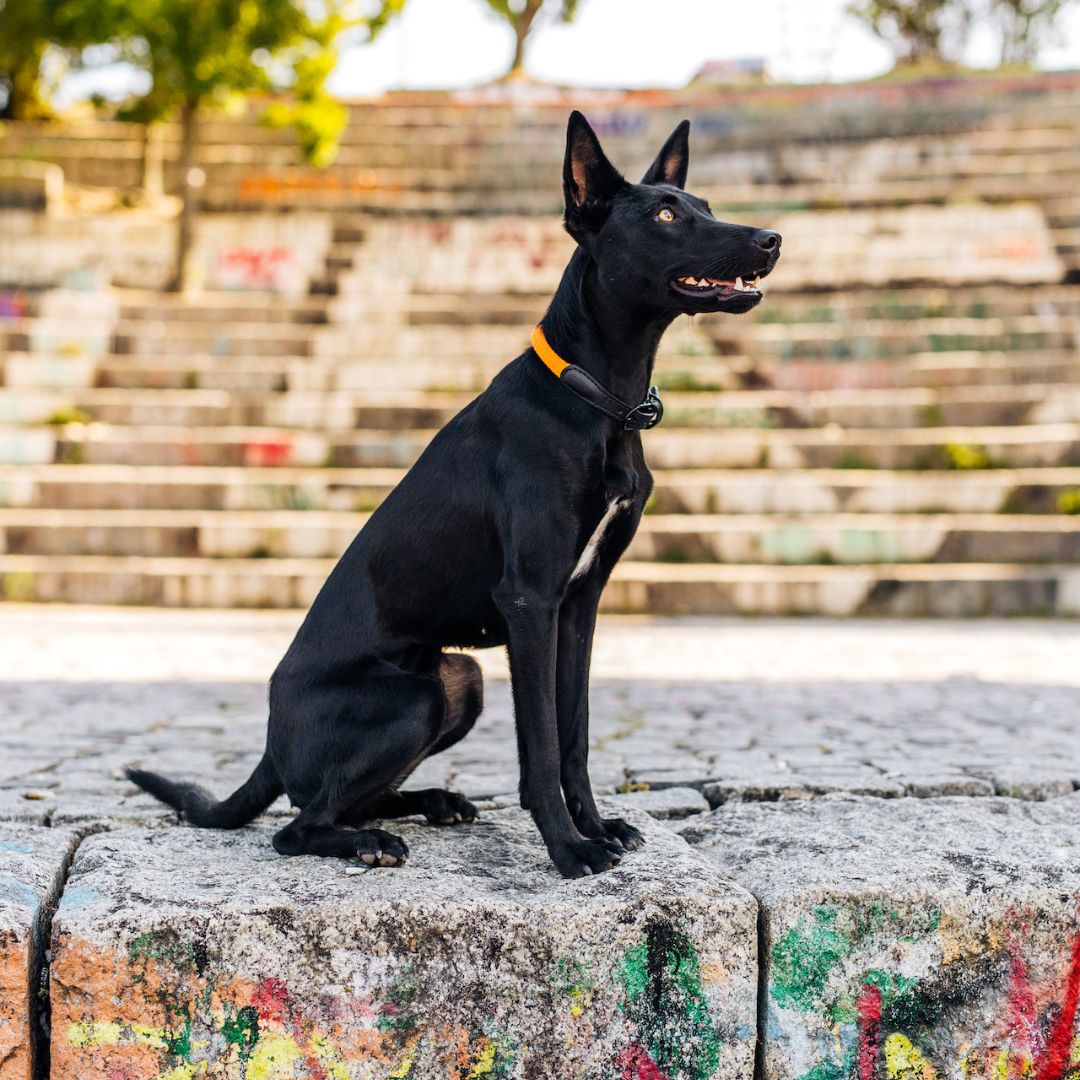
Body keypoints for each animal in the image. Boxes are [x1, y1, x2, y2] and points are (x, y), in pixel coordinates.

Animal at [130, 111, 781, 876]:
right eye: (668, 215)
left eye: (703, 204)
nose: (771, 240)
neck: (596, 399)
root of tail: (267, 747)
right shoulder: (530, 602)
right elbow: (541, 747)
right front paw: (569, 849)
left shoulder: (579, 604)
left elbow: (575, 735)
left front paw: (597, 826)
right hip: (411, 698)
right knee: (297, 824)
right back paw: (368, 842)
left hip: (458, 681)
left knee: (352, 797)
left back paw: (430, 802)